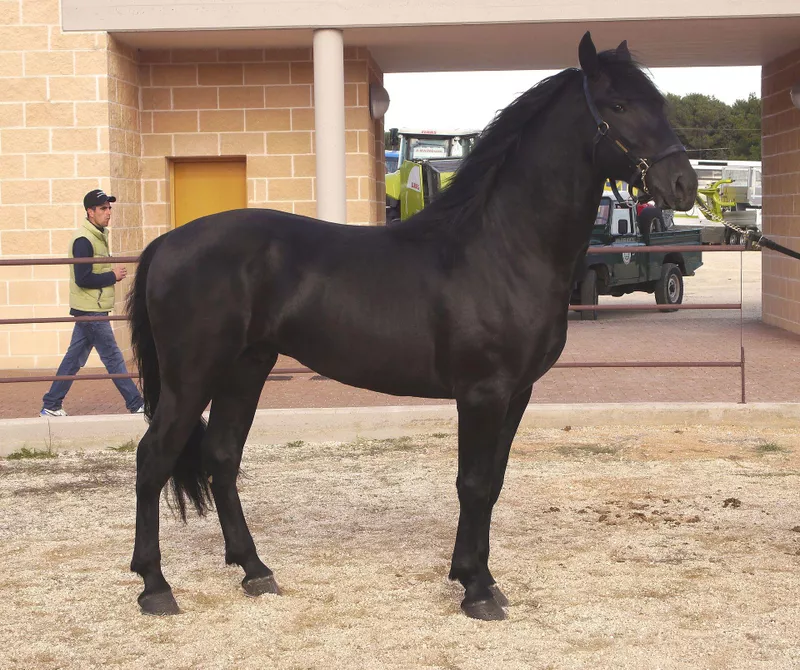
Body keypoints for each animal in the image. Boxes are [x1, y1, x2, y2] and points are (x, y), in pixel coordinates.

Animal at [128, 34, 696, 624]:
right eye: (618, 105)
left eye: (659, 105)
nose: (684, 183)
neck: (503, 248)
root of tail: (165, 243)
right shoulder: (482, 393)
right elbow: (472, 484)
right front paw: (475, 588)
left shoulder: (516, 394)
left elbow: (492, 483)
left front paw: (481, 578)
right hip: (192, 378)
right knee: (153, 459)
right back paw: (155, 586)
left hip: (246, 368)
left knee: (221, 457)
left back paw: (254, 570)